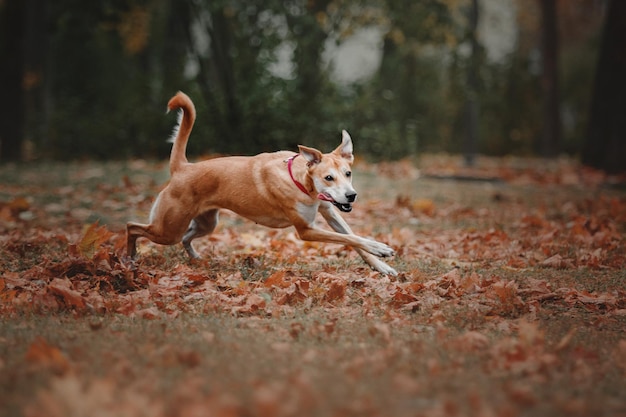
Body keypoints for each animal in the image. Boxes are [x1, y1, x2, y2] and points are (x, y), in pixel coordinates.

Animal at [126, 90, 394, 276]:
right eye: (329, 177)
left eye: (348, 173)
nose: (351, 196)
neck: (301, 182)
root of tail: (183, 167)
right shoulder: (306, 230)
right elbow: (351, 239)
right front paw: (381, 249)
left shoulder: (330, 211)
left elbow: (353, 237)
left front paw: (380, 264)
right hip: (168, 228)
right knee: (132, 227)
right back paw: (130, 259)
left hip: (205, 223)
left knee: (186, 238)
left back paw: (195, 259)